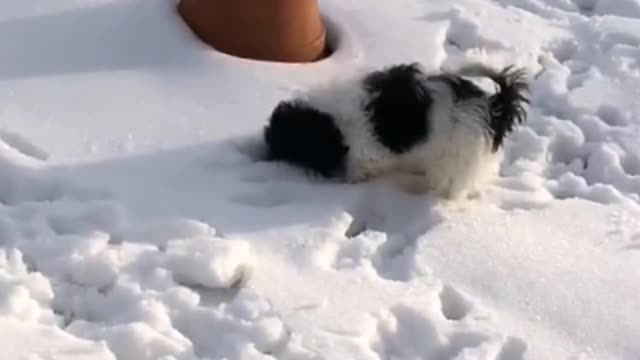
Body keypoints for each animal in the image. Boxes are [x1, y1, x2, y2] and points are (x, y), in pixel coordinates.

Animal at [262, 62, 528, 200]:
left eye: (285, 142)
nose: (266, 154)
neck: (329, 121)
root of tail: (492, 107)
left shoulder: (364, 152)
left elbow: (358, 169)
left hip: (459, 154)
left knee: (455, 184)